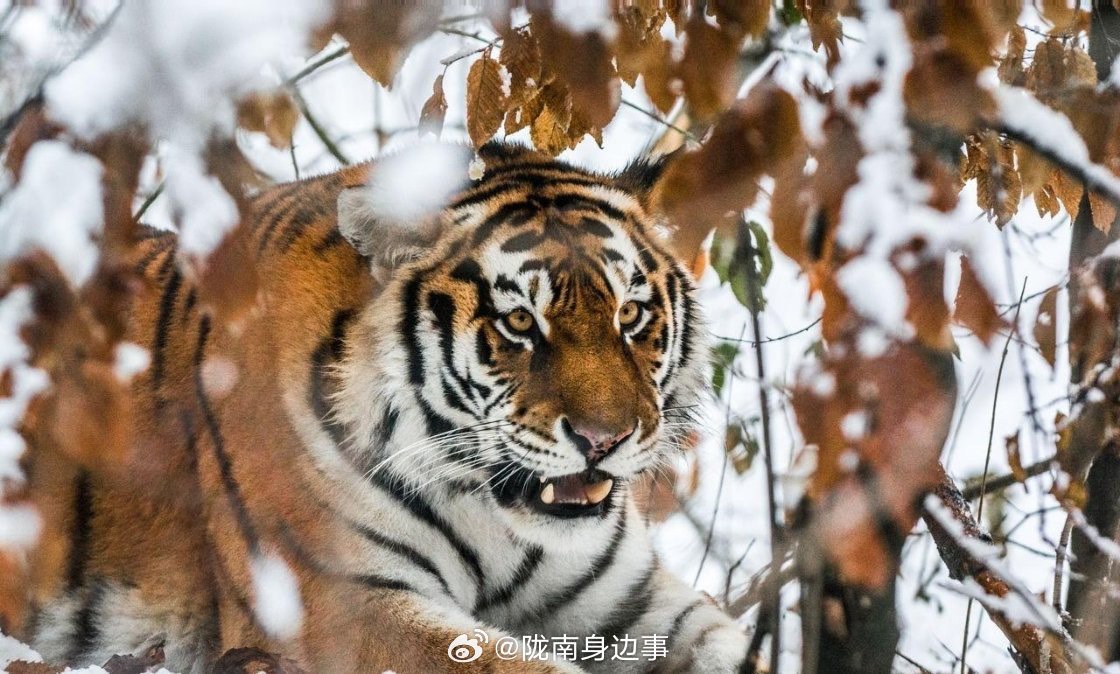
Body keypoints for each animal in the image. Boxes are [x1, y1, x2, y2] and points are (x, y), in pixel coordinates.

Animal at [15, 141, 752, 671]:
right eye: (518, 322)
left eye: (630, 315)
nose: (605, 439)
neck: (495, 516)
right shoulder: (335, 604)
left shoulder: (627, 600)